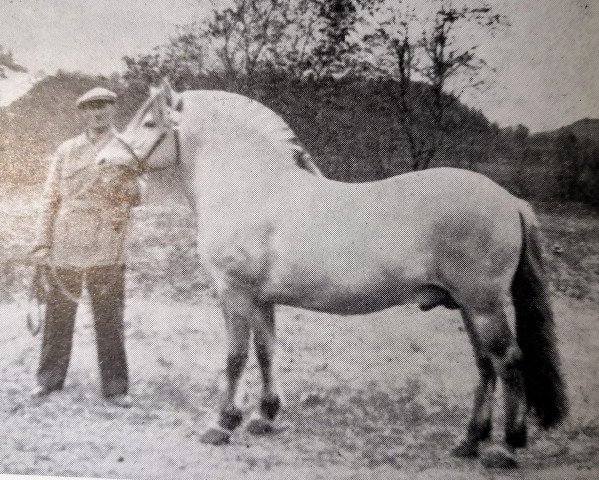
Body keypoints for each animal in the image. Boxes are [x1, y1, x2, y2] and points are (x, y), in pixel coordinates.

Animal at [97, 79, 568, 468]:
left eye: (150, 122)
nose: (102, 162)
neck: (251, 187)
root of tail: (510, 200)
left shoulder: (235, 293)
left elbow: (235, 357)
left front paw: (221, 424)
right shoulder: (262, 299)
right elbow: (266, 352)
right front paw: (264, 417)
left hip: (483, 305)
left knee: (509, 363)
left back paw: (505, 448)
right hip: (468, 306)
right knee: (485, 365)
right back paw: (469, 441)